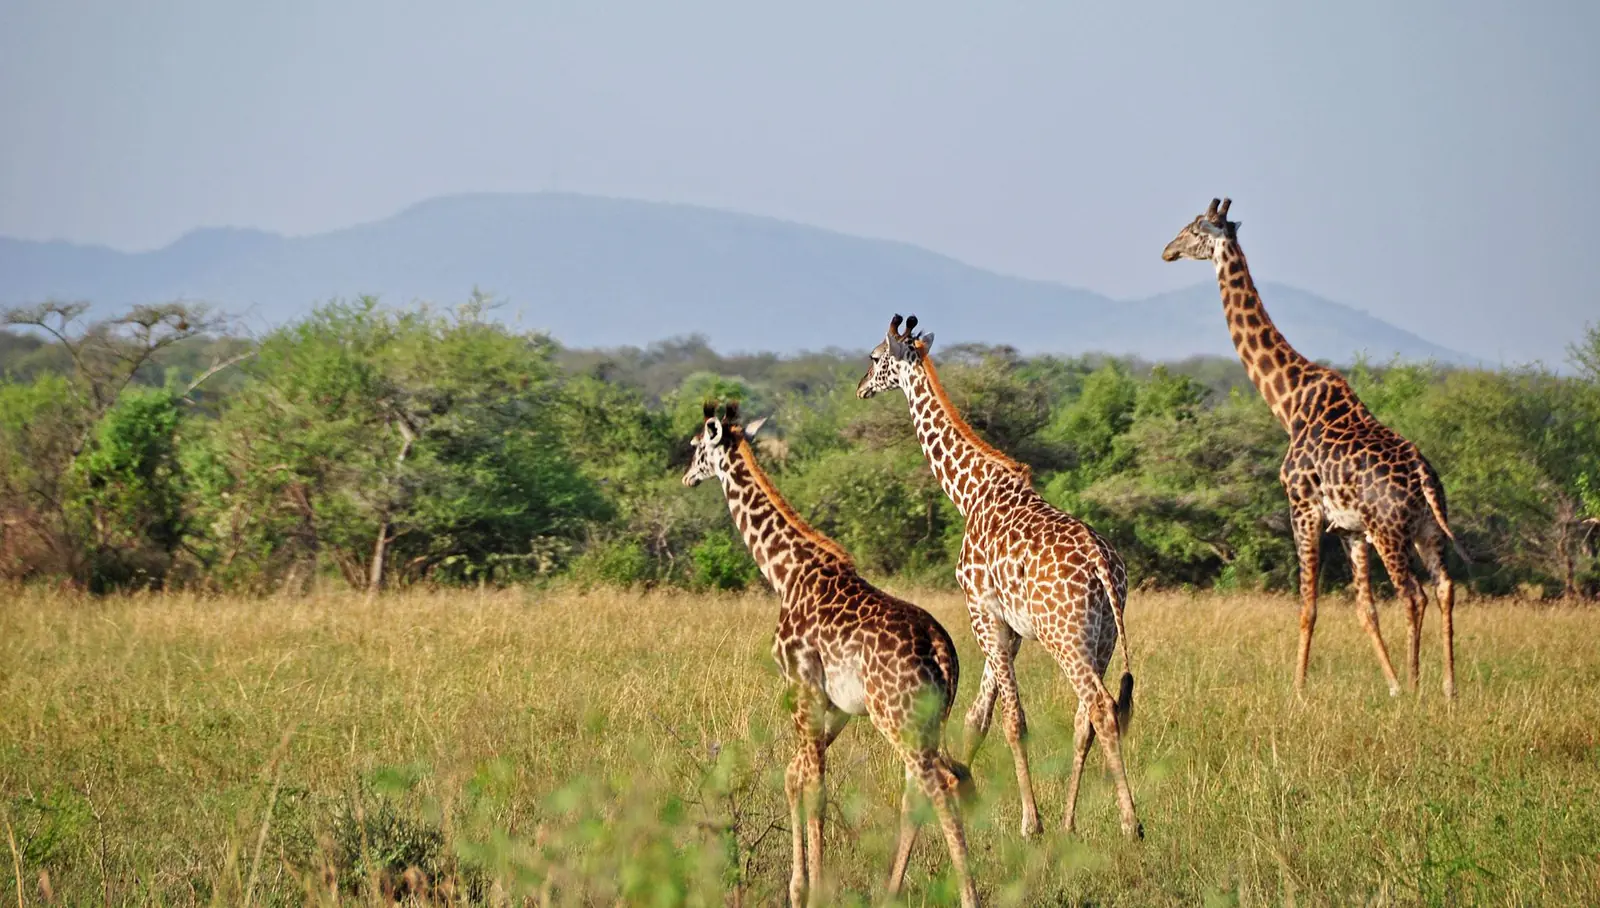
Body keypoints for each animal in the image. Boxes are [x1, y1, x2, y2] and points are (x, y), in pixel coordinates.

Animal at [682, 400, 980, 908]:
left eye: (698, 445)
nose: (686, 477)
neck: (784, 571)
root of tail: (943, 651)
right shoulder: (836, 704)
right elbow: (794, 774)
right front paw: (798, 887)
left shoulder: (800, 685)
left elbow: (815, 786)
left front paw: (814, 889)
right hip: (922, 720)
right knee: (922, 790)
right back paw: (891, 892)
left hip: (895, 717)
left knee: (942, 785)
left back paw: (968, 896)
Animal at [857, 317, 1141, 839]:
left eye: (874, 357)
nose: (862, 387)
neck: (969, 492)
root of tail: (1102, 565)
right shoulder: (1009, 626)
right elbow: (977, 717)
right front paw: (966, 794)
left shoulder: (980, 610)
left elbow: (1012, 719)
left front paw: (1029, 823)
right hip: (1104, 638)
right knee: (1085, 718)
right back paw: (1070, 823)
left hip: (1065, 636)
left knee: (1102, 708)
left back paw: (1130, 824)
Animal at [1161, 197, 1463, 699]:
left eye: (1193, 228)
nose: (1167, 250)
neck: (1288, 402)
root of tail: (1424, 476)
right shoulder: (1350, 529)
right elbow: (1364, 610)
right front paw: (1390, 684)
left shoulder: (1302, 508)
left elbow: (1308, 606)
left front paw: (1299, 690)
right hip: (1426, 530)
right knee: (1444, 588)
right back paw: (1447, 688)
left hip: (1390, 530)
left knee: (1413, 594)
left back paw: (1418, 684)